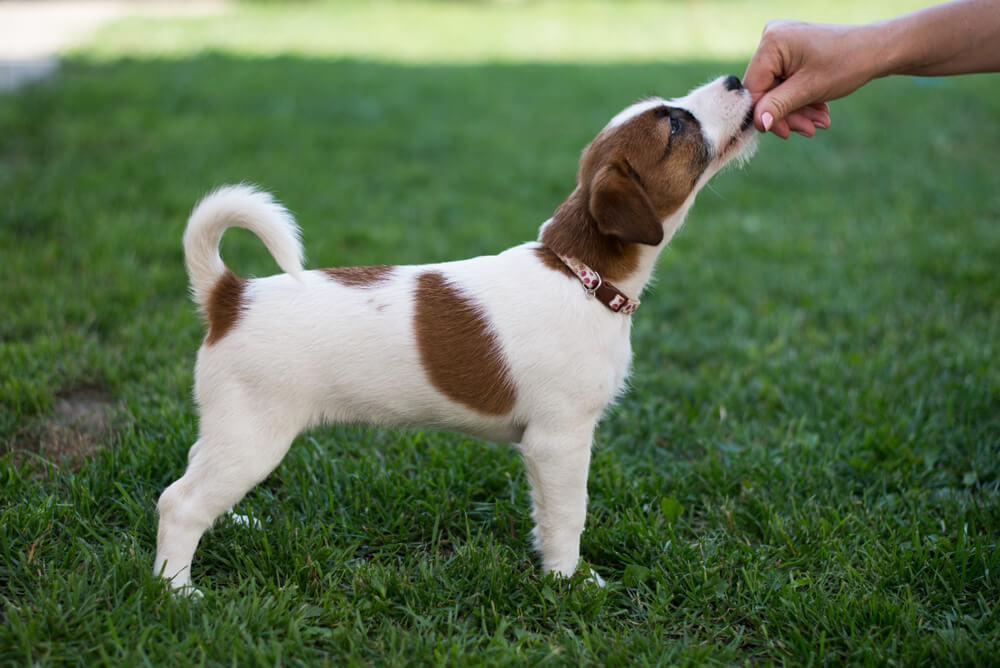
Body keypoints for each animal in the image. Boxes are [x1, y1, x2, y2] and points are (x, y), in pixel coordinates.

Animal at [152, 75, 752, 592]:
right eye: (674, 125)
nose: (734, 79)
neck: (579, 274)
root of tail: (231, 296)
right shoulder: (560, 439)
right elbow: (568, 517)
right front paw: (568, 583)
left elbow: (545, 515)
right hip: (254, 434)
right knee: (179, 504)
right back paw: (176, 590)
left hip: (230, 427)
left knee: (194, 477)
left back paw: (233, 527)